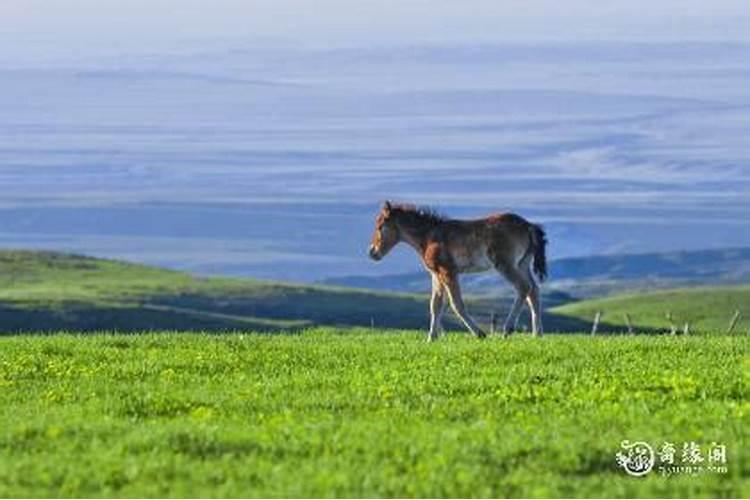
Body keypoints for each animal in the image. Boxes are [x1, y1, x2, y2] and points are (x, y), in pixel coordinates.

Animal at [368, 202, 548, 340]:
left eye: (380, 226)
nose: (372, 252)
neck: (429, 237)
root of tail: (528, 226)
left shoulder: (448, 271)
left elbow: (456, 304)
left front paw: (479, 334)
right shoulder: (436, 274)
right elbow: (435, 305)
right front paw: (431, 338)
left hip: (505, 264)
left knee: (524, 287)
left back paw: (508, 330)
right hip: (522, 264)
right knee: (534, 290)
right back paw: (537, 334)